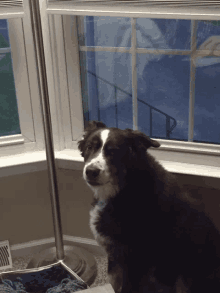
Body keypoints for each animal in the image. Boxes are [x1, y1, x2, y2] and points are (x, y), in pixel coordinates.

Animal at [78, 120, 220, 290]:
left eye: (114, 152)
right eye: (89, 147)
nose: (91, 171)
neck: (126, 188)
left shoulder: (134, 259)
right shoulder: (116, 254)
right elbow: (114, 282)